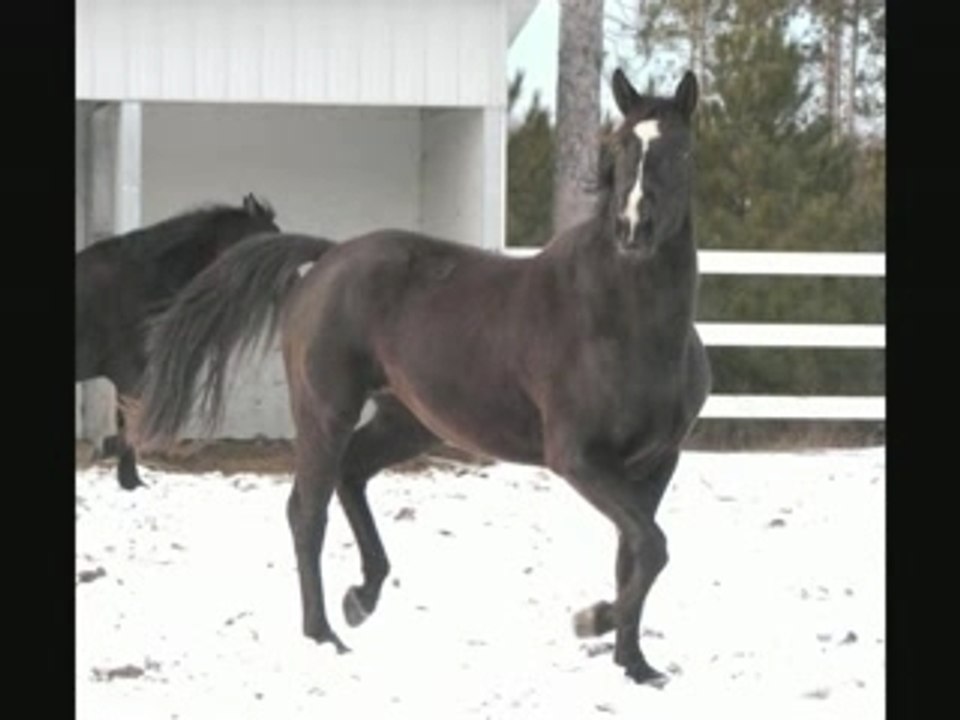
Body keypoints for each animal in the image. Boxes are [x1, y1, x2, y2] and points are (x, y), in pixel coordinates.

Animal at [132, 69, 710, 686]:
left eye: (681, 151)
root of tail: (327, 259)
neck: (626, 325)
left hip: (408, 422)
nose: (633, 228)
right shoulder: (577, 457)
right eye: (621, 147)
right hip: (325, 411)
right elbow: (652, 546)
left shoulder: (655, 461)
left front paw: (635, 665)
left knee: (351, 475)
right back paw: (324, 634)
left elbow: (635, 552)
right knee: (307, 512)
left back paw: (361, 597)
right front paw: (593, 620)